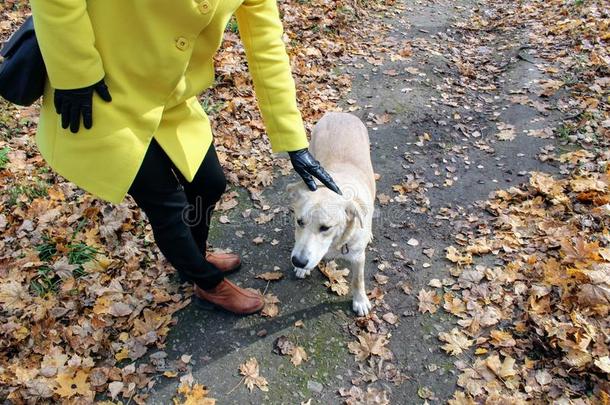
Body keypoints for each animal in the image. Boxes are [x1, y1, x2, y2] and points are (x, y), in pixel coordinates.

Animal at [286, 111, 376, 316]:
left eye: (325, 228)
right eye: (299, 221)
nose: (298, 261)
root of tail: (340, 113)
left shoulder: (358, 257)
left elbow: (358, 280)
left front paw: (360, 300)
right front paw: (302, 269)